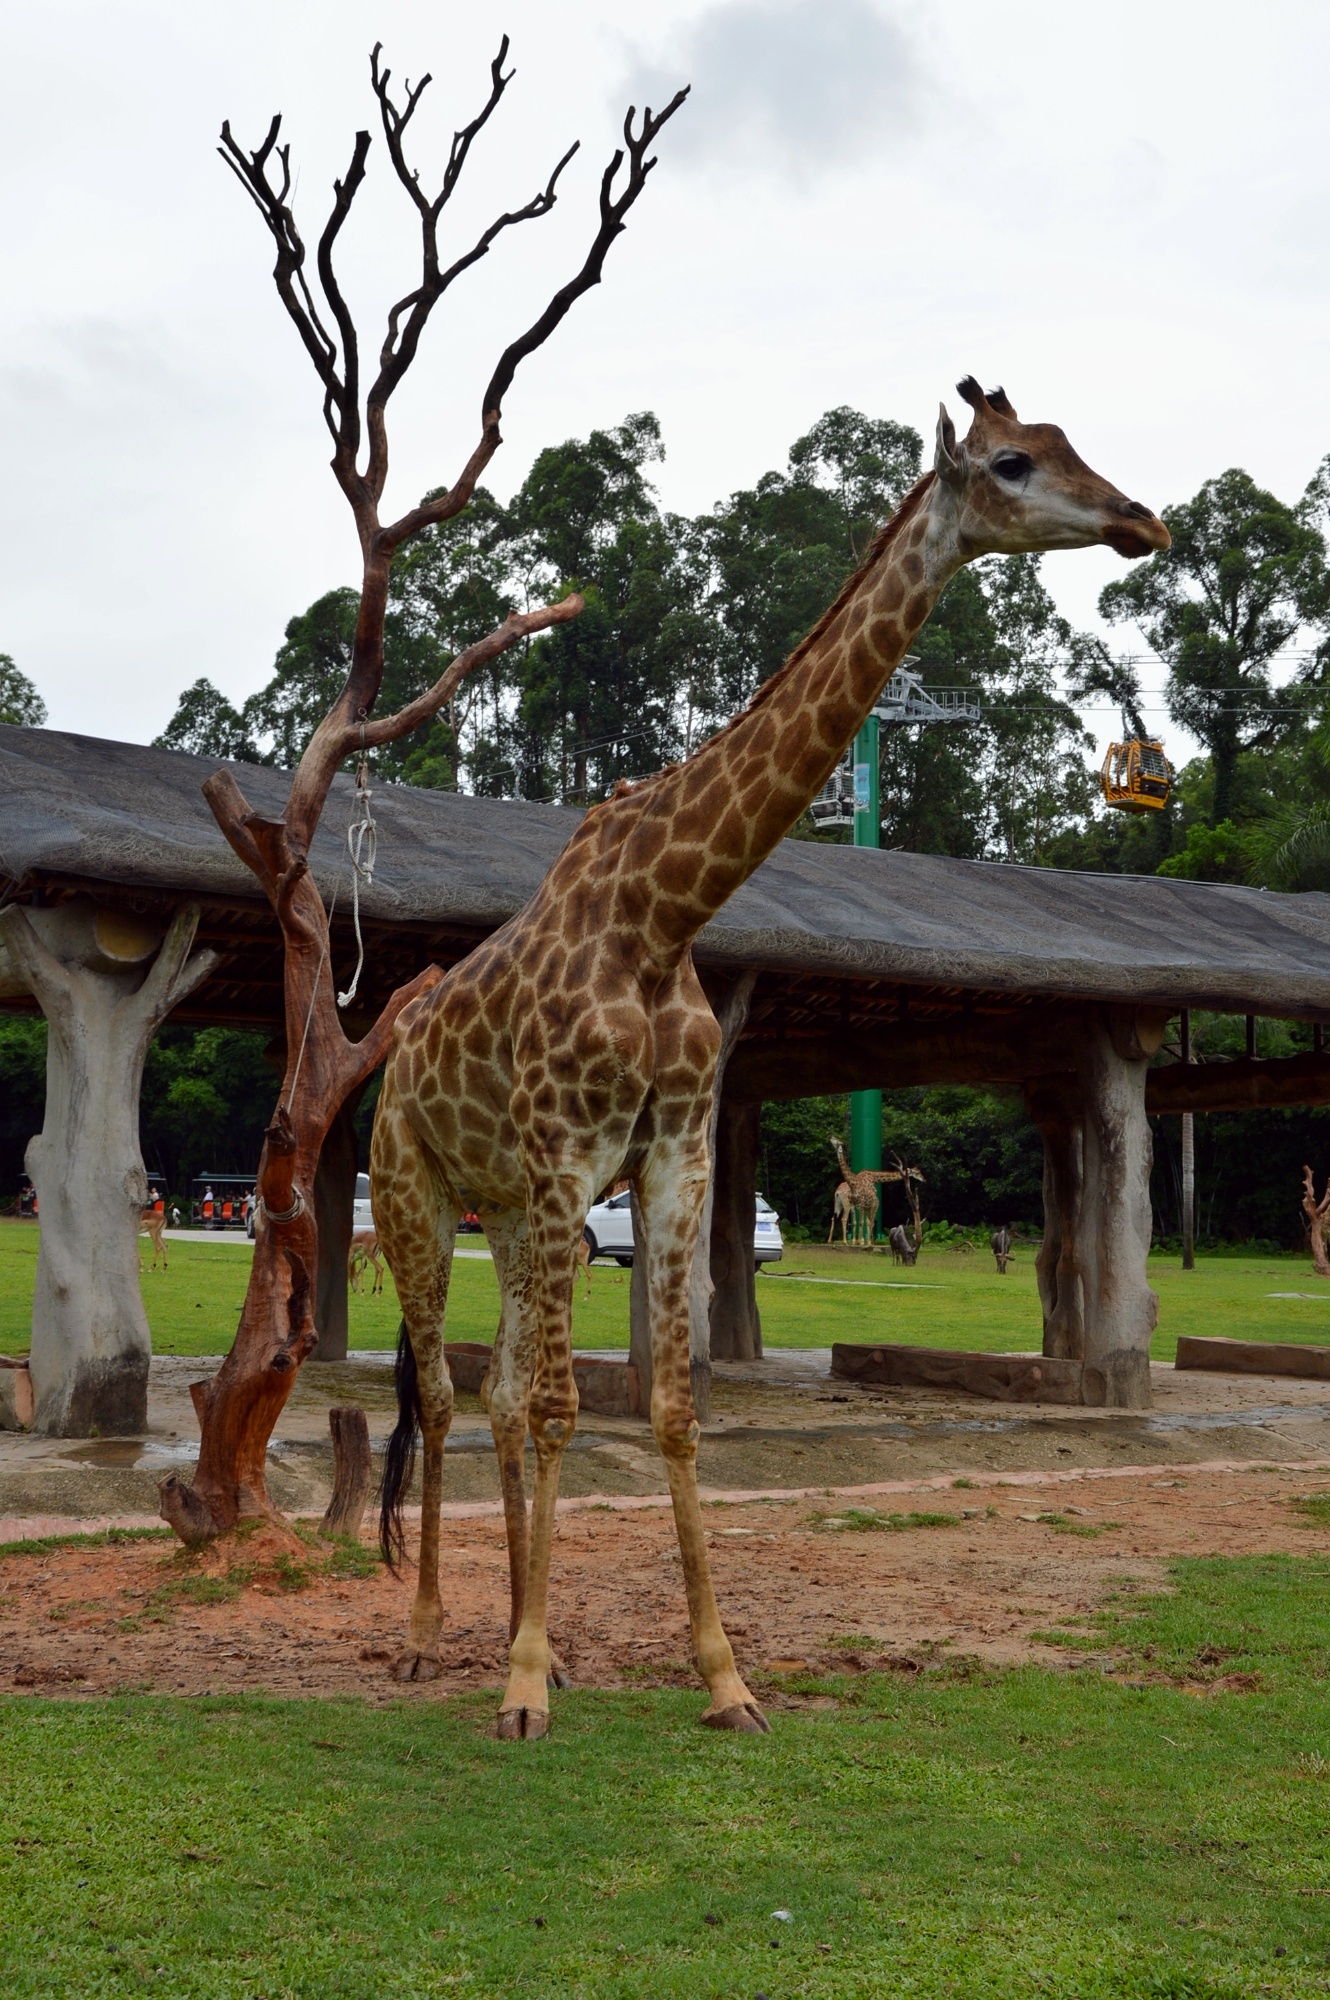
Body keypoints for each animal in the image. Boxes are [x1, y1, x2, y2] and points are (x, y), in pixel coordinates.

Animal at [370, 378, 1160, 1736]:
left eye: (1067, 443)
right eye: (1012, 463)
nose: (1141, 520)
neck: (661, 914)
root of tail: (382, 1062)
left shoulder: (671, 1151)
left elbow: (673, 1408)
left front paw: (717, 1676)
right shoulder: (572, 1153)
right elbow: (575, 1402)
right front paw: (519, 1689)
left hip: (513, 1210)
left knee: (501, 1391)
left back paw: (535, 1640)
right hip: (414, 1189)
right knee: (441, 1389)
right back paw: (429, 1639)